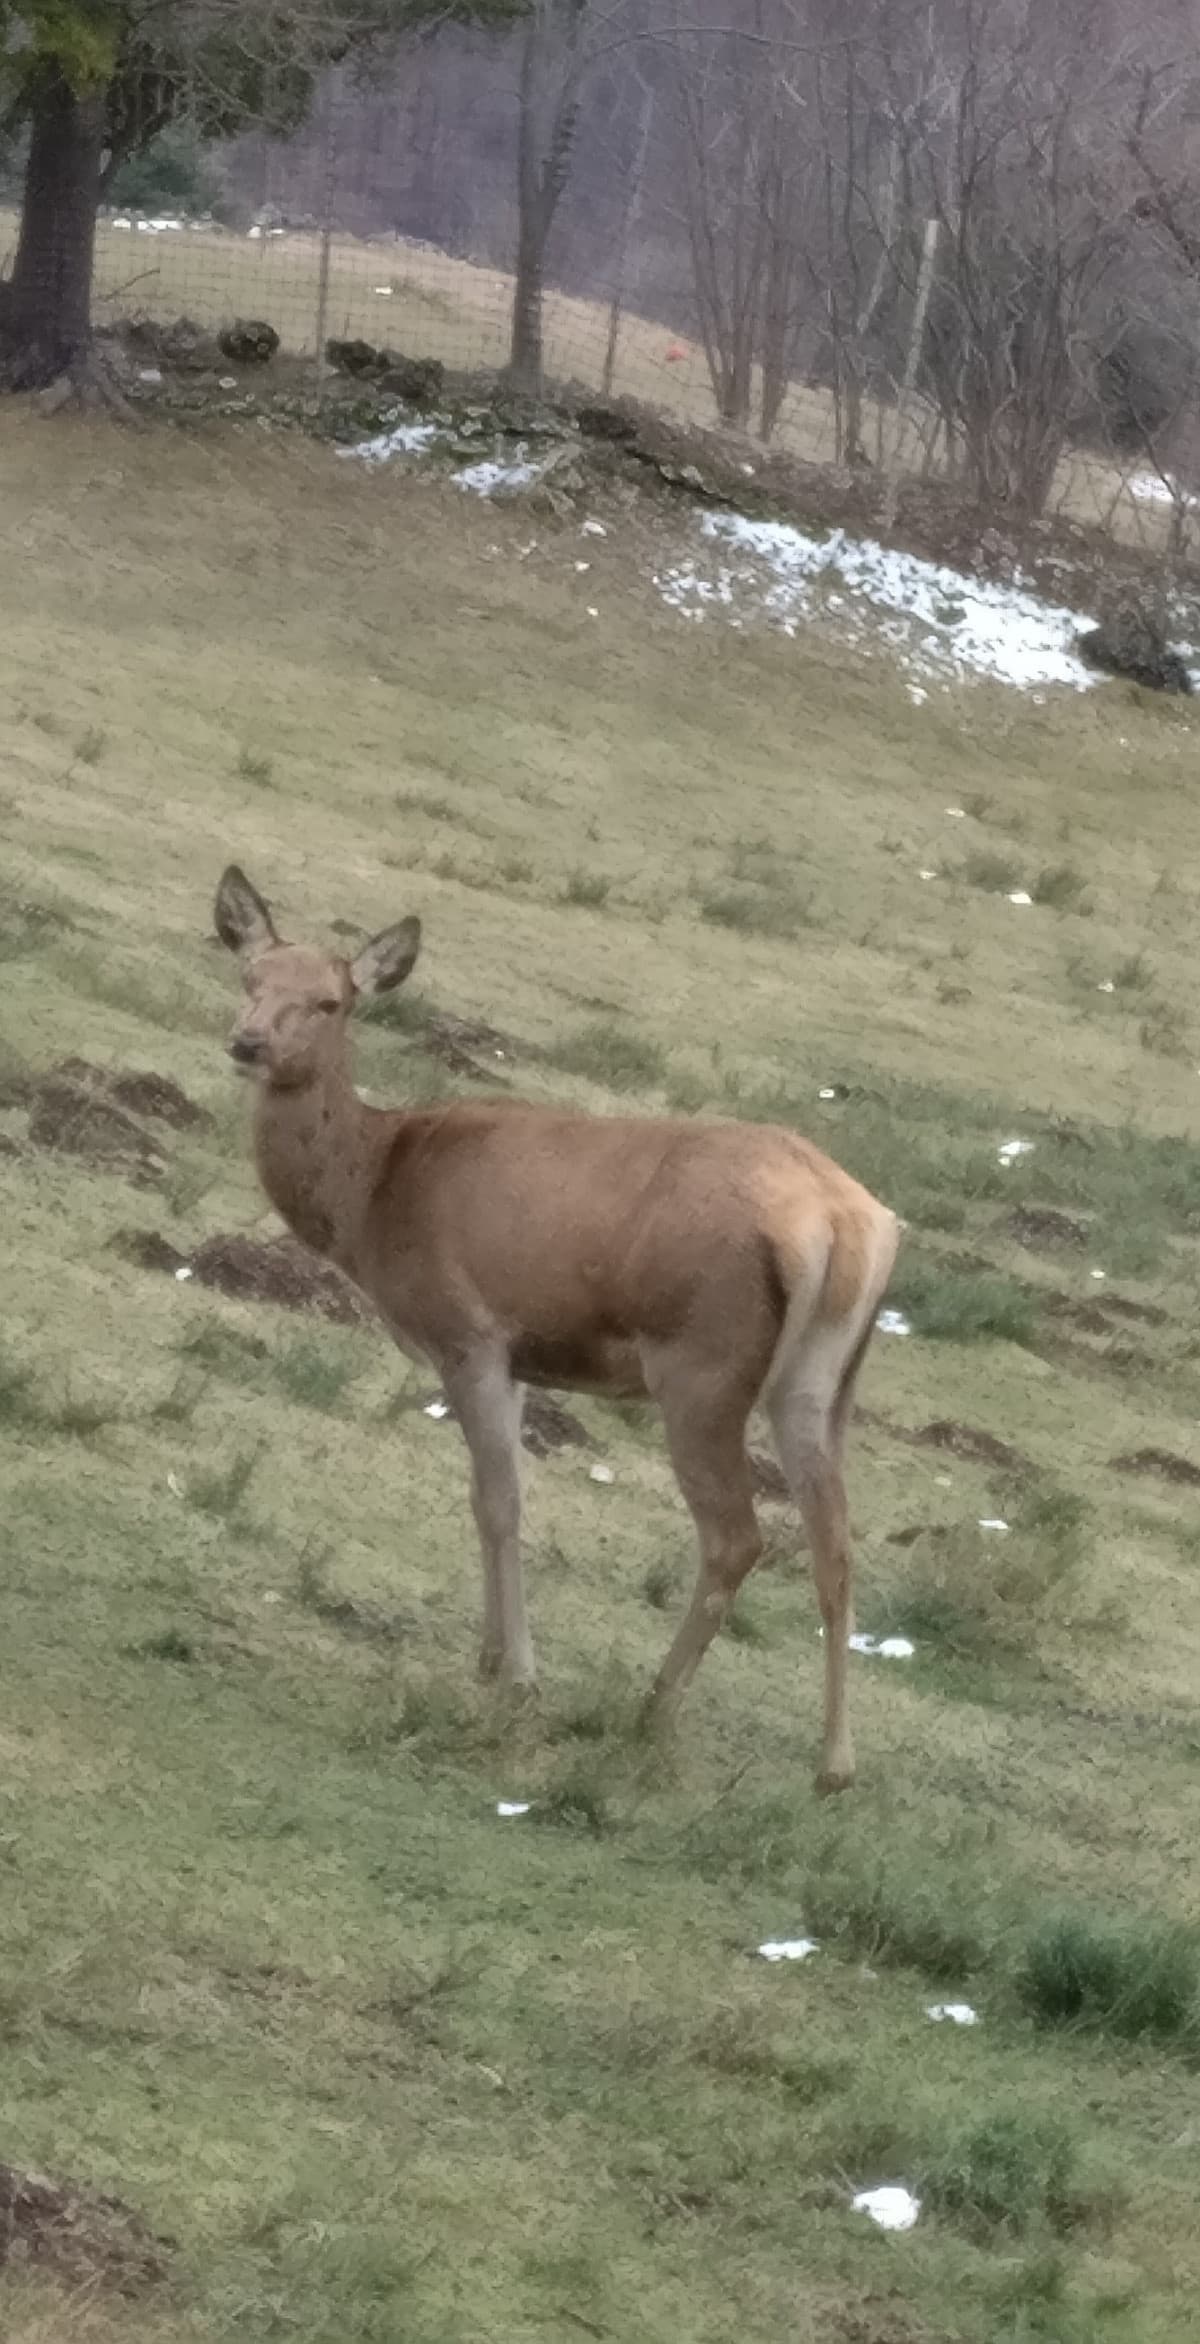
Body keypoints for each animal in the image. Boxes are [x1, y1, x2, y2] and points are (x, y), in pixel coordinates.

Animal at [215, 867, 900, 1790]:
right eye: (252, 975)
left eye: (330, 1000)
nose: (248, 1042)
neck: (374, 1195)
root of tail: (845, 1223)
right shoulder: (509, 1356)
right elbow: (487, 1498)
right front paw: (487, 1657)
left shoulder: (470, 1333)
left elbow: (500, 1500)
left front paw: (517, 1676)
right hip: (821, 1385)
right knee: (836, 1541)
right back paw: (834, 1765)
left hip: (701, 1367)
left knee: (736, 1536)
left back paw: (652, 1710)